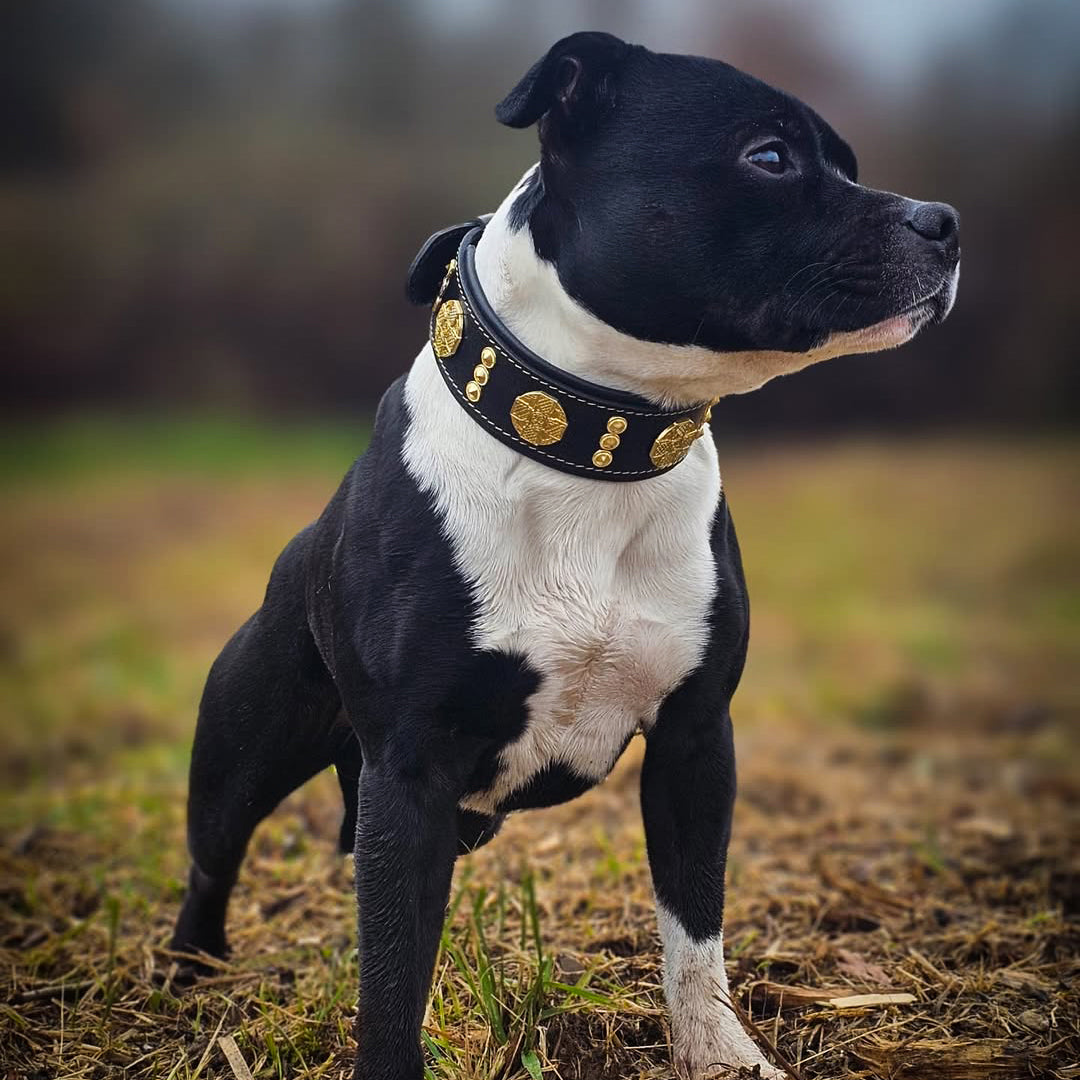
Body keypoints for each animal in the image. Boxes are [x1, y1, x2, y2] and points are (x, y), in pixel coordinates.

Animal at [170, 31, 963, 1080]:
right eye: (770, 157)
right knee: (211, 858)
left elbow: (693, 926)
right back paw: (191, 974)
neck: (596, 439)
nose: (945, 222)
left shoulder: (696, 741)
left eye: (847, 163)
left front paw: (718, 1053)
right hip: (244, 748)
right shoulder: (410, 772)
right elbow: (393, 977)